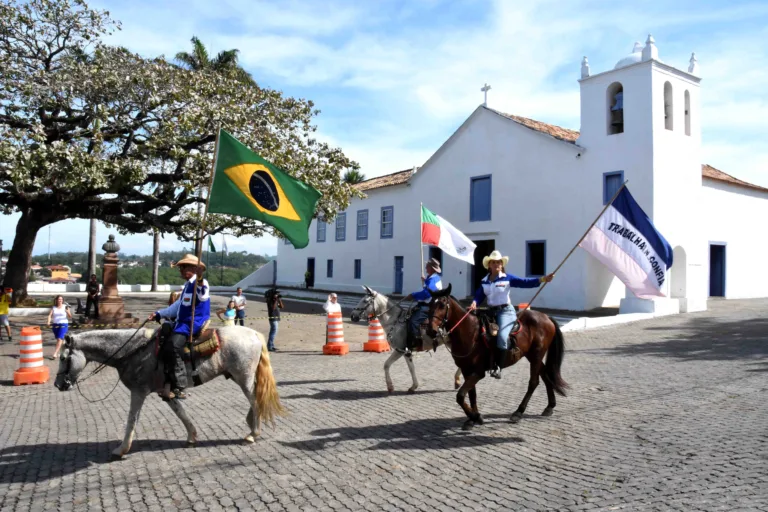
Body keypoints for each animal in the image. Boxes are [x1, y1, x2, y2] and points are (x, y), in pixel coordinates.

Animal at [53, 326, 284, 462]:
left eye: (63, 358)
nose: (58, 384)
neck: (134, 351)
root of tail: (254, 334)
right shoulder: (165, 393)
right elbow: (181, 414)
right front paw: (192, 436)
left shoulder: (139, 392)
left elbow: (131, 420)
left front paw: (122, 449)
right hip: (239, 377)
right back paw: (251, 425)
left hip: (243, 378)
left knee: (255, 401)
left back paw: (253, 433)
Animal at [426, 286, 564, 430]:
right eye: (429, 304)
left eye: (442, 305)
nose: (430, 330)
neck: (470, 333)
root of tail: (546, 317)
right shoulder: (466, 370)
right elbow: (472, 394)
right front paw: (473, 419)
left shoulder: (478, 372)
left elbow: (460, 395)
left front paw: (475, 417)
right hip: (532, 356)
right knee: (546, 376)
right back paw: (549, 406)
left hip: (537, 355)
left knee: (533, 382)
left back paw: (518, 412)